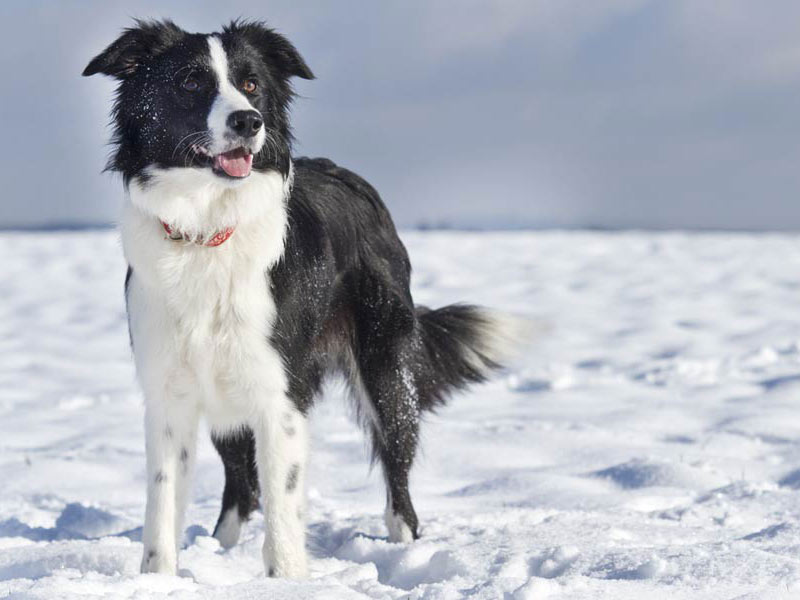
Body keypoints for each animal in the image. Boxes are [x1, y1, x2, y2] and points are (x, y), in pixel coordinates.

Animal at [81, 21, 520, 580]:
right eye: (190, 82)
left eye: (251, 84)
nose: (249, 121)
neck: (206, 230)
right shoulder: (169, 393)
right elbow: (161, 509)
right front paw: (159, 581)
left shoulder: (280, 394)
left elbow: (283, 509)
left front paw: (286, 580)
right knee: (240, 485)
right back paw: (222, 548)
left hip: (385, 372)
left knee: (397, 478)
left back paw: (405, 550)